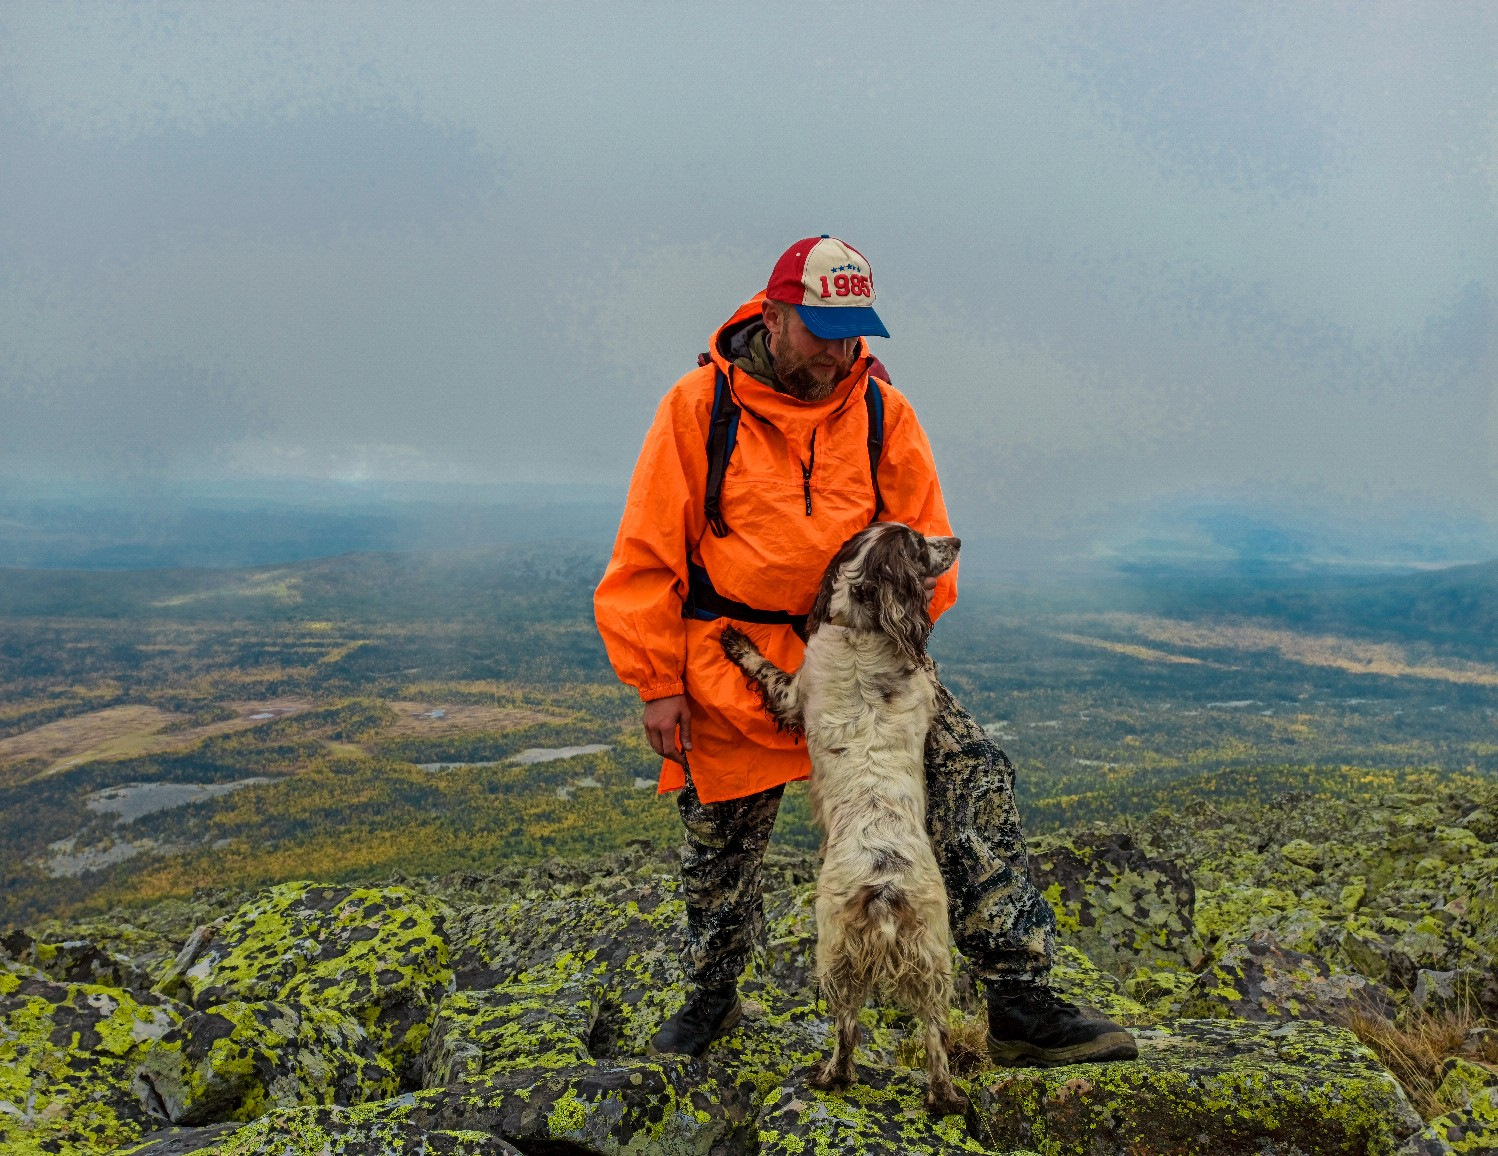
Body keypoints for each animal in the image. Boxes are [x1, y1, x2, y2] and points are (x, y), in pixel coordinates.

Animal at [719, 521, 964, 1108]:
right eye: (919, 543)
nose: (956, 541)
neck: (861, 628)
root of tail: (886, 886)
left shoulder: (792, 692)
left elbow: (764, 669)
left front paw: (736, 640)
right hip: (933, 954)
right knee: (932, 1031)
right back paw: (942, 1096)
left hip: (834, 954)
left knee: (847, 1025)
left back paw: (833, 1076)